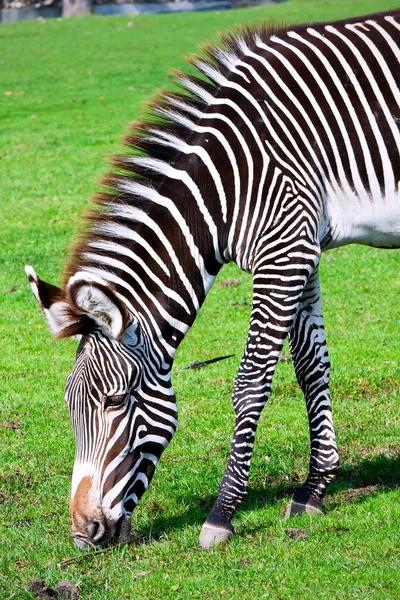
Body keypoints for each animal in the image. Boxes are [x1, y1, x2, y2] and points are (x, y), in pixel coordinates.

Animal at [25, 8, 400, 548]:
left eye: (115, 400)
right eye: (70, 406)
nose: (83, 534)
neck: (226, 185)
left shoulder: (283, 251)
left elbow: (250, 383)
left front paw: (222, 514)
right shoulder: (303, 248)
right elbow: (311, 368)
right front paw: (314, 488)